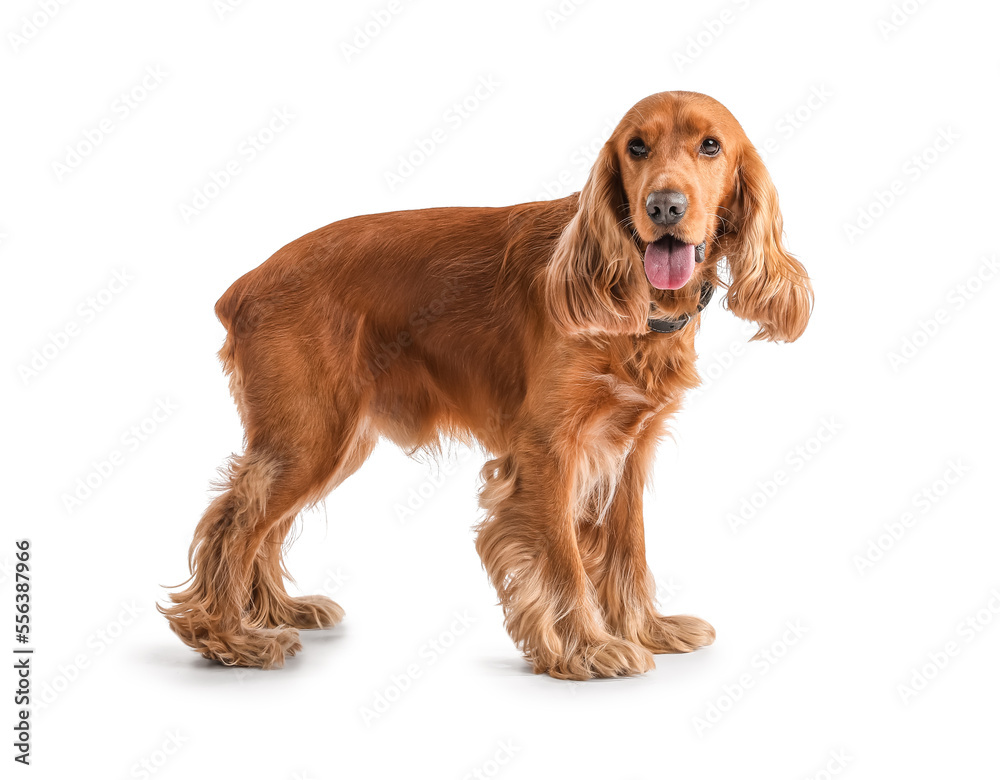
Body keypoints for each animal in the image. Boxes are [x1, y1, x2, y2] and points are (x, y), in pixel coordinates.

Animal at [162, 90, 812, 676]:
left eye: (711, 146)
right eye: (636, 147)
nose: (665, 207)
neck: (633, 303)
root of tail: (241, 286)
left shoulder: (628, 449)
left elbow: (629, 551)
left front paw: (647, 629)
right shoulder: (548, 452)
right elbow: (564, 560)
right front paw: (586, 649)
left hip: (332, 442)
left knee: (261, 528)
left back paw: (275, 611)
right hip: (308, 439)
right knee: (231, 526)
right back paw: (229, 640)